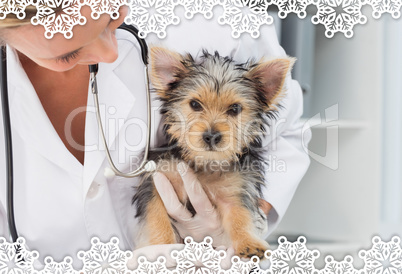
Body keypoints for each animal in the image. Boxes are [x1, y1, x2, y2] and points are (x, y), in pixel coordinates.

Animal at [133, 47, 294, 260]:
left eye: (235, 108)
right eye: (195, 104)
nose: (211, 136)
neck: (204, 163)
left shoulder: (236, 188)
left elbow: (240, 215)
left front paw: (248, 242)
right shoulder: (156, 182)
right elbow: (156, 217)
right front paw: (161, 248)